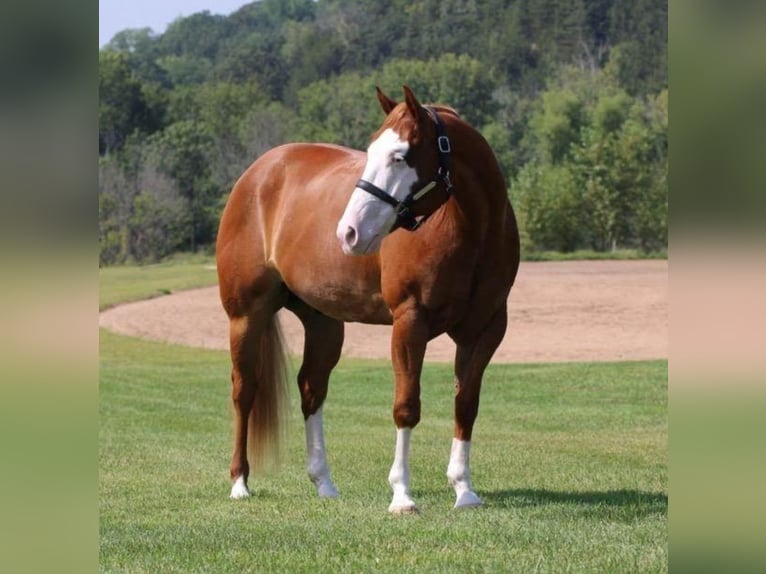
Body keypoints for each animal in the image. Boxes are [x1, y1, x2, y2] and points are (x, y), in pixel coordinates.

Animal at [216, 85, 520, 513]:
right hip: (246, 315)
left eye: (400, 156)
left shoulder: (486, 329)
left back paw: (324, 483)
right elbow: (406, 406)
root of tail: (258, 173)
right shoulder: (410, 321)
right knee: (244, 390)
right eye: (371, 150)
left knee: (311, 389)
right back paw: (240, 482)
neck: (470, 230)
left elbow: (466, 404)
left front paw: (463, 490)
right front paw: (402, 495)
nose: (349, 232)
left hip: (323, 321)